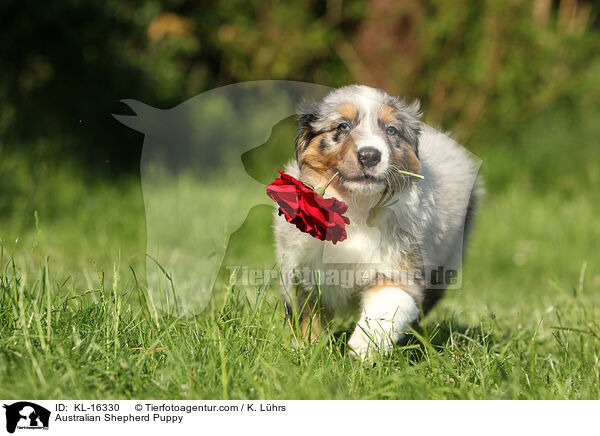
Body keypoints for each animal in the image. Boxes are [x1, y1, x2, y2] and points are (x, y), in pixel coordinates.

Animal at [272, 83, 482, 360]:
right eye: (342, 126)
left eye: (391, 130)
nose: (370, 155)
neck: (357, 208)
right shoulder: (301, 271)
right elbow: (308, 316)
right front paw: (307, 353)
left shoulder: (400, 269)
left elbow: (388, 305)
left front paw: (361, 349)